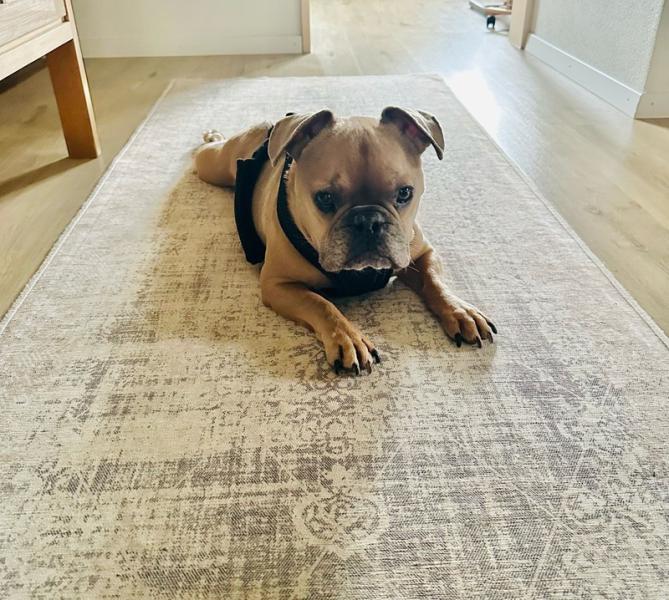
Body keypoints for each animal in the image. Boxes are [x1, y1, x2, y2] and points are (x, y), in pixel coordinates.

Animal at [194, 107, 496, 374]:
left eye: (405, 193)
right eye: (325, 198)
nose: (368, 222)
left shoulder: (421, 253)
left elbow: (434, 280)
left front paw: (459, 310)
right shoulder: (278, 284)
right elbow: (321, 304)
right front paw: (348, 338)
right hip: (215, 165)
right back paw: (212, 135)